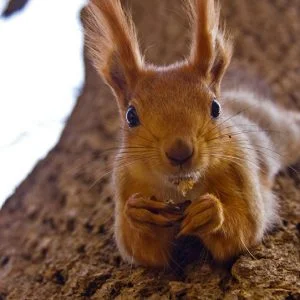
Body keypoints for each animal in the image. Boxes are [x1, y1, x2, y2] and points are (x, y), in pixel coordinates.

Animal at [83, 0, 300, 268]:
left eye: (215, 108)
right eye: (130, 116)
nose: (180, 152)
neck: (179, 188)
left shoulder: (240, 171)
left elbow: (245, 228)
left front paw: (210, 212)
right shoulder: (126, 182)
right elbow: (141, 250)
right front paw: (138, 212)